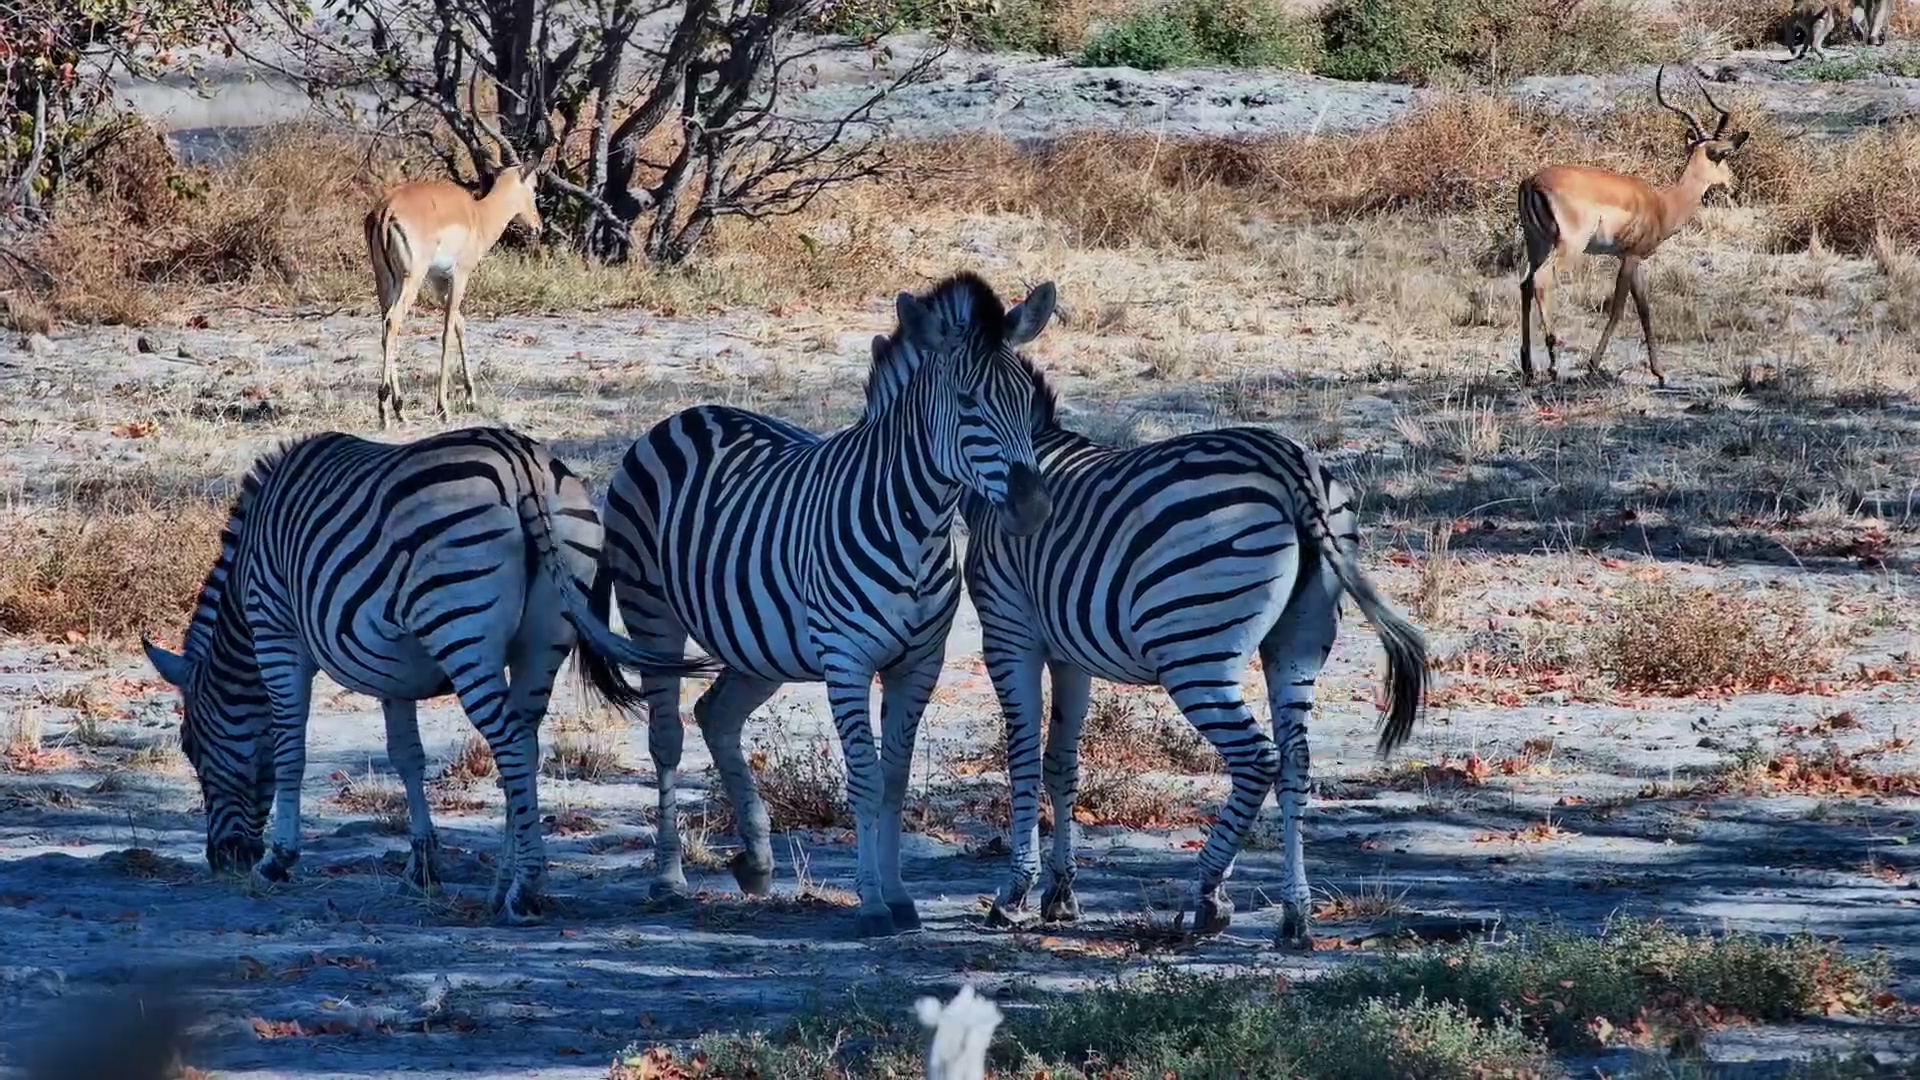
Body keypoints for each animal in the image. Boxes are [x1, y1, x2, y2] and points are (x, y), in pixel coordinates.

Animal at [140, 426, 720, 924]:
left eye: (191, 747)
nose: (224, 860)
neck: (243, 587)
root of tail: (523, 465)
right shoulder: (389, 665)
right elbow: (407, 757)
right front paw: (421, 867)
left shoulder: (277, 627)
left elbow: (289, 750)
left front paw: (278, 860)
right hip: (544, 631)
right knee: (525, 743)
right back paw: (504, 885)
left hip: (459, 625)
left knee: (510, 742)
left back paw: (527, 890)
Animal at [598, 271, 1057, 938]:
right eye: (969, 402)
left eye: (1029, 402)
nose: (1034, 510)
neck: (921, 528)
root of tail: (689, 414)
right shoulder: (847, 659)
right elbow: (863, 777)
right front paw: (871, 903)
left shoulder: (920, 663)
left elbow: (893, 780)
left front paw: (900, 896)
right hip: (651, 614)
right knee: (666, 738)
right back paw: (668, 877)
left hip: (759, 643)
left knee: (717, 714)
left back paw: (758, 862)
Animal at [963, 359, 1428, 948]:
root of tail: (1292, 466)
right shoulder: (1068, 654)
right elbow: (1061, 762)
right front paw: (1060, 894)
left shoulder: (1010, 632)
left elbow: (1022, 758)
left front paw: (1015, 894)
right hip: (1298, 642)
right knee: (1295, 760)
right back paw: (1294, 916)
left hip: (1194, 653)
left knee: (1258, 759)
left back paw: (1210, 894)